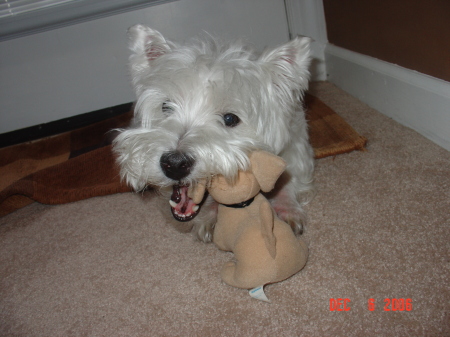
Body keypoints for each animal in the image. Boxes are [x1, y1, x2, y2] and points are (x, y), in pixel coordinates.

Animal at [114, 25, 314, 242]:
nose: (174, 164)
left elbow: (290, 175)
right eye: (166, 106)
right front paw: (210, 215)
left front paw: (288, 209)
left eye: (230, 119)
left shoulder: (296, 143)